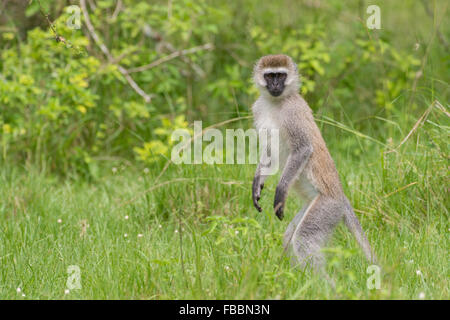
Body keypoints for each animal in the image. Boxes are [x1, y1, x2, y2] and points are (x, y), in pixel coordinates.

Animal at [251, 54, 374, 270]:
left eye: (280, 76)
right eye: (270, 76)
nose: (275, 85)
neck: (276, 103)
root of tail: (341, 196)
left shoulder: (293, 113)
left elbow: (303, 149)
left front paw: (281, 190)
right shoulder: (259, 109)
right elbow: (270, 152)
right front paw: (257, 183)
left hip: (327, 207)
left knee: (303, 237)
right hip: (312, 205)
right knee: (290, 235)